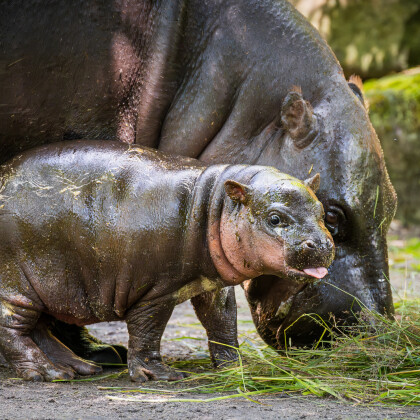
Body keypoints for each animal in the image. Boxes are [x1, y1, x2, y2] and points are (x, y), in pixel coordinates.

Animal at [0, 140, 334, 380]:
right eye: (275, 218)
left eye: (323, 212)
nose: (321, 244)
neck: (213, 206)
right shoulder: (153, 291)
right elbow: (148, 330)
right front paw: (158, 375)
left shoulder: (212, 285)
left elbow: (223, 321)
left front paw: (236, 367)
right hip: (19, 284)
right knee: (12, 328)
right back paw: (46, 373)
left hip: (46, 287)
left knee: (38, 329)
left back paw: (77, 368)